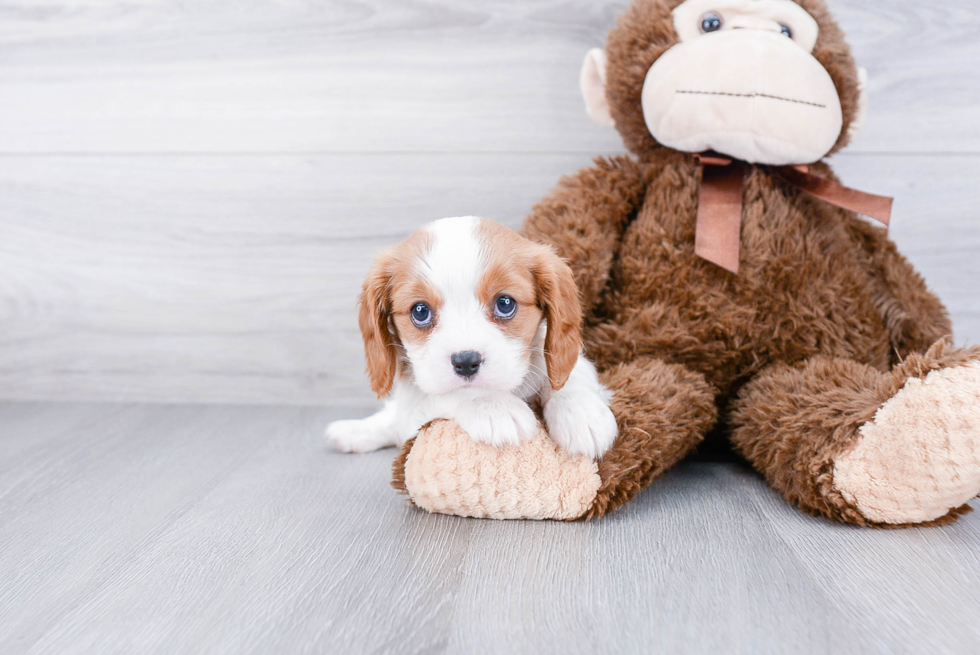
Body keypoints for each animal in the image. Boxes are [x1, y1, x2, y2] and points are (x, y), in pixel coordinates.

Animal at [326, 218, 616, 458]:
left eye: (505, 303)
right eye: (420, 311)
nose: (466, 362)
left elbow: (570, 375)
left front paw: (581, 413)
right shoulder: (413, 408)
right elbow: (445, 395)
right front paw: (493, 407)